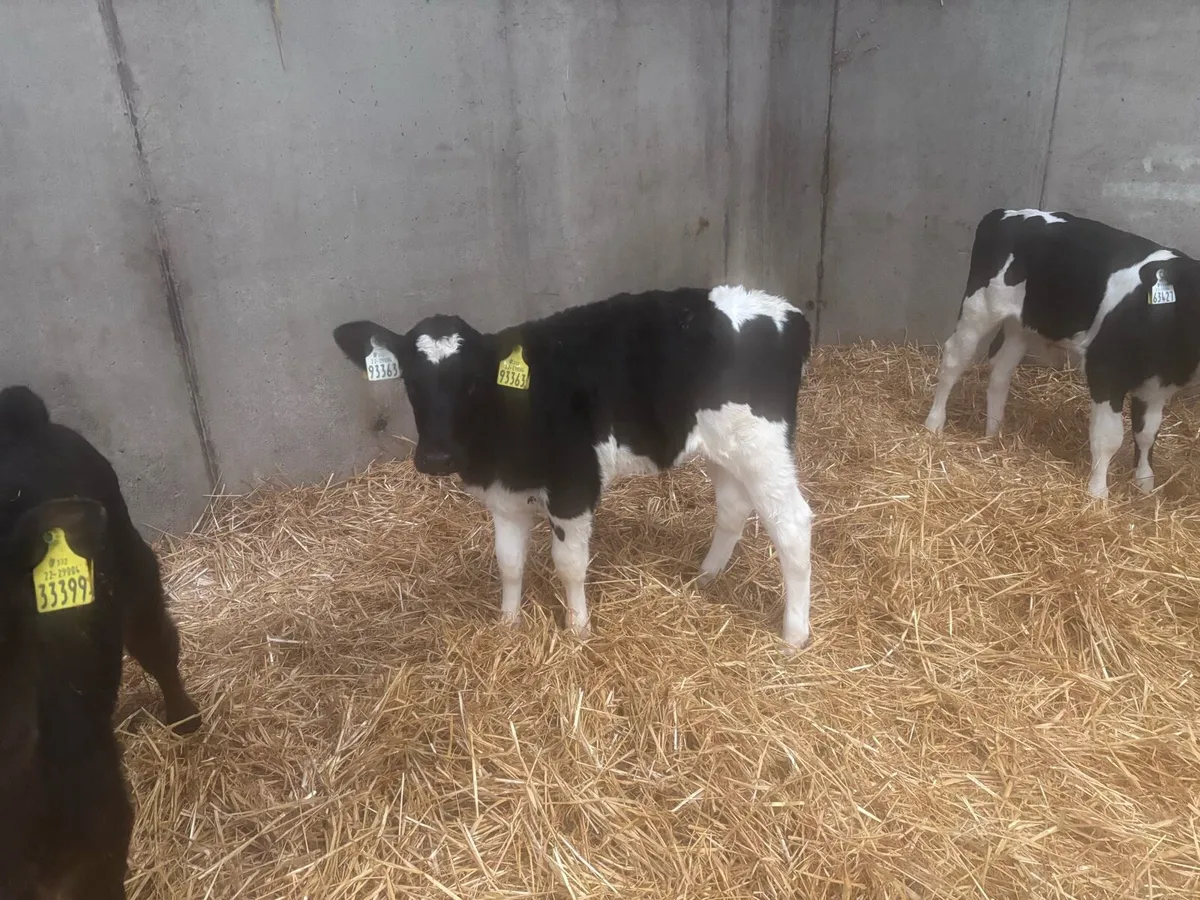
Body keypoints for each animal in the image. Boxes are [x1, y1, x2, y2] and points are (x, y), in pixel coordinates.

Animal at [333, 285, 816, 650]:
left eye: (472, 381)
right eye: (410, 381)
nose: (436, 457)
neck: (515, 410)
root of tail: (786, 312)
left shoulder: (574, 487)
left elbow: (568, 563)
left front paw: (577, 628)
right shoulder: (503, 497)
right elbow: (509, 562)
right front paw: (508, 623)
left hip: (763, 446)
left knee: (792, 523)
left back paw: (794, 634)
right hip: (723, 448)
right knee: (733, 507)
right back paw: (705, 577)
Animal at [924, 207, 1200, 499]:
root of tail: (1007, 212)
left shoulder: (1158, 386)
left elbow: (1147, 433)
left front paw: (1146, 485)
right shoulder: (1105, 369)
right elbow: (1109, 436)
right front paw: (1098, 492)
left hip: (1020, 326)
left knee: (1001, 371)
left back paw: (993, 432)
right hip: (979, 307)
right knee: (955, 359)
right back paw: (934, 423)